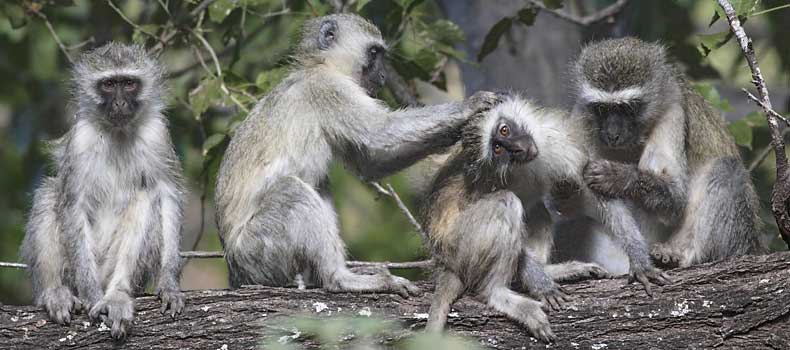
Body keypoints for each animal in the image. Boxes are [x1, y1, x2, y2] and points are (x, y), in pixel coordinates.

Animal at [21, 41, 186, 340]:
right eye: (109, 84)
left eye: (129, 84)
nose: (119, 103)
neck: (117, 132)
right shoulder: (80, 139)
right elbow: (72, 205)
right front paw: (92, 297)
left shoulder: (157, 135)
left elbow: (168, 196)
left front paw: (169, 283)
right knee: (49, 195)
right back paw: (55, 292)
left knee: (145, 197)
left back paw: (117, 296)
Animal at [215, 15, 502, 296]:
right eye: (374, 53)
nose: (384, 76)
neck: (321, 65)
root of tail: (235, 270)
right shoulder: (331, 90)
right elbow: (380, 132)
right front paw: (469, 107)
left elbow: (371, 161)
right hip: (259, 251)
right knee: (292, 192)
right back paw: (339, 278)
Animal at [576, 37, 768, 268]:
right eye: (602, 109)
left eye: (628, 108)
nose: (613, 134)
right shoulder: (581, 120)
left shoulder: (672, 111)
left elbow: (675, 199)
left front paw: (616, 176)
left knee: (727, 169)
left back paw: (686, 255)